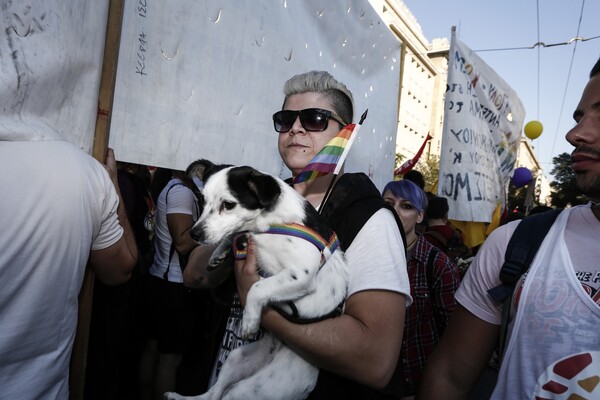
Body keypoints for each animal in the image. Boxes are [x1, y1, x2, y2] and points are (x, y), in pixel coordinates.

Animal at [165, 160, 352, 400]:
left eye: (228, 205)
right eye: (203, 201)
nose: (194, 234)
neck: (266, 224)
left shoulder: (302, 273)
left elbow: (258, 286)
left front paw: (250, 321)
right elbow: (233, 236)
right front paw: (220, 252)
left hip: (254, 391)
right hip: (237, 359)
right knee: (212, 394)